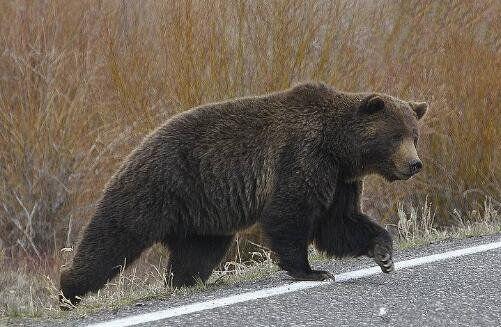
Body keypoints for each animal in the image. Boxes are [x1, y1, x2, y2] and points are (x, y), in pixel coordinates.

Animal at [58, 82, 426, 308]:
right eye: (395, 136)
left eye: (414, 134)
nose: (414, 164)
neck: (340, 149)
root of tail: (138, 145)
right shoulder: (303, 157)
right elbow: (289, 214)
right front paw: (312, 271)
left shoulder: (339, 180)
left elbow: (339, 223)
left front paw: (384, 254)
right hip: (158, 186)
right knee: (113, 237)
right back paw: (69, 290)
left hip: (202, 216)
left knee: (196, 253)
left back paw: (184, 282)